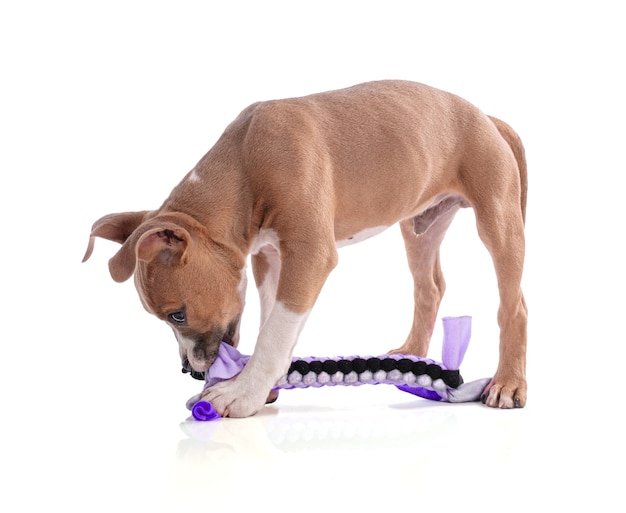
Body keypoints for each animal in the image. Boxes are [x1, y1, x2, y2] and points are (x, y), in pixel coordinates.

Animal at [80, 79, 524, 416]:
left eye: (177, 314)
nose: (191, 372)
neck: (245, 166)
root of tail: (488, 118)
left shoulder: (310, 256)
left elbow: (275, 332)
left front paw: (242, 392)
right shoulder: (269, 258)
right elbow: (273, 323)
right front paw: (263, 385)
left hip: (498, 220)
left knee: (514, 305)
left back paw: (508, 383)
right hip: (419, 228)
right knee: (429, 287)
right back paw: (411, 355)